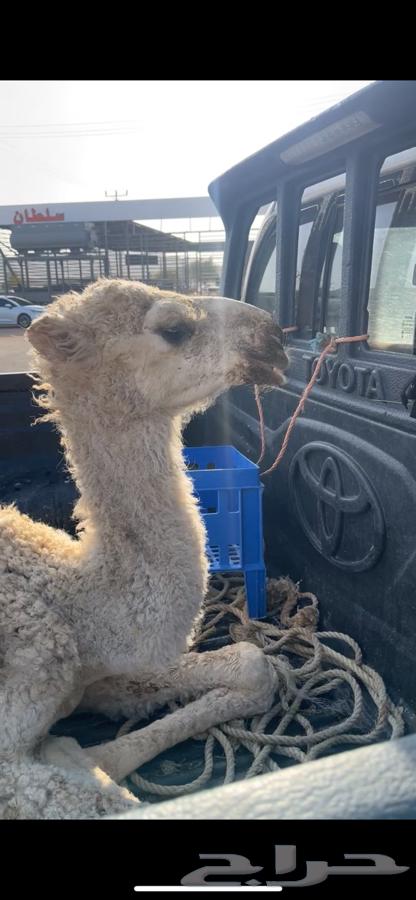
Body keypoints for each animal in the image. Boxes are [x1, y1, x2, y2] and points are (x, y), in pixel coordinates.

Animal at [0, 278, 289, 818]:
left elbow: (254, 664)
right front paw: (75, 755)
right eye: (174, 328)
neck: (70, 599)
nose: (275, 337)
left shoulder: (99, 673)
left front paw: (87, 753)